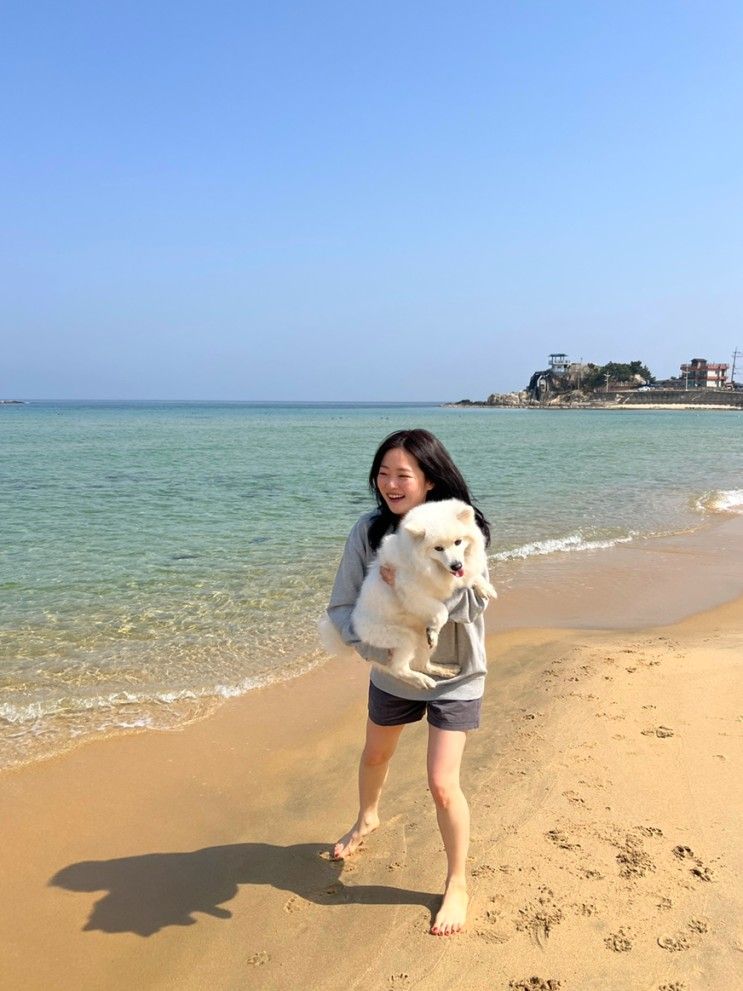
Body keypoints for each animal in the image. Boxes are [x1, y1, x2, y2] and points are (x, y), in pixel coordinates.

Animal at [318, 500, 494, 684]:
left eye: (458, 542)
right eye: (438, 548)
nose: (456, 565)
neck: (430, 566)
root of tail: (356, 628)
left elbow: (470, 576)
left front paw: (485, 587)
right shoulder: (413, 596)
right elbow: (442, 612)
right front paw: (435, 627)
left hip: (420, 639)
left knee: (421, 664)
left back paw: (444, 669)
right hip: (403, 638)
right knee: (400, 669)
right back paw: (423, 680)